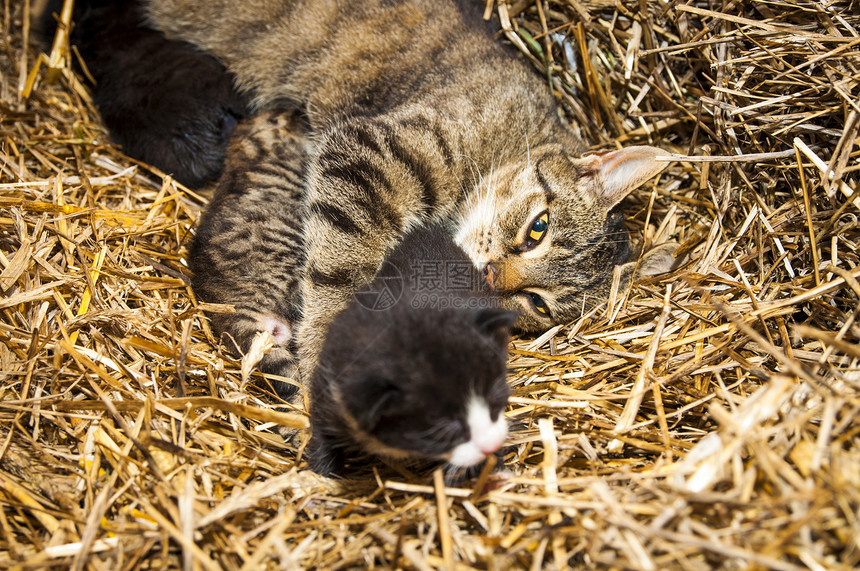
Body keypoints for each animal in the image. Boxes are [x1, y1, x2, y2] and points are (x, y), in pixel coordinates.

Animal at [310, 225, 516, 478]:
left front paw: (495, 468)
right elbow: (322, 432)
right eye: (444, 429)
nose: (493, 444)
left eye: (497, 398)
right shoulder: (330, 385)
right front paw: (322, 474)